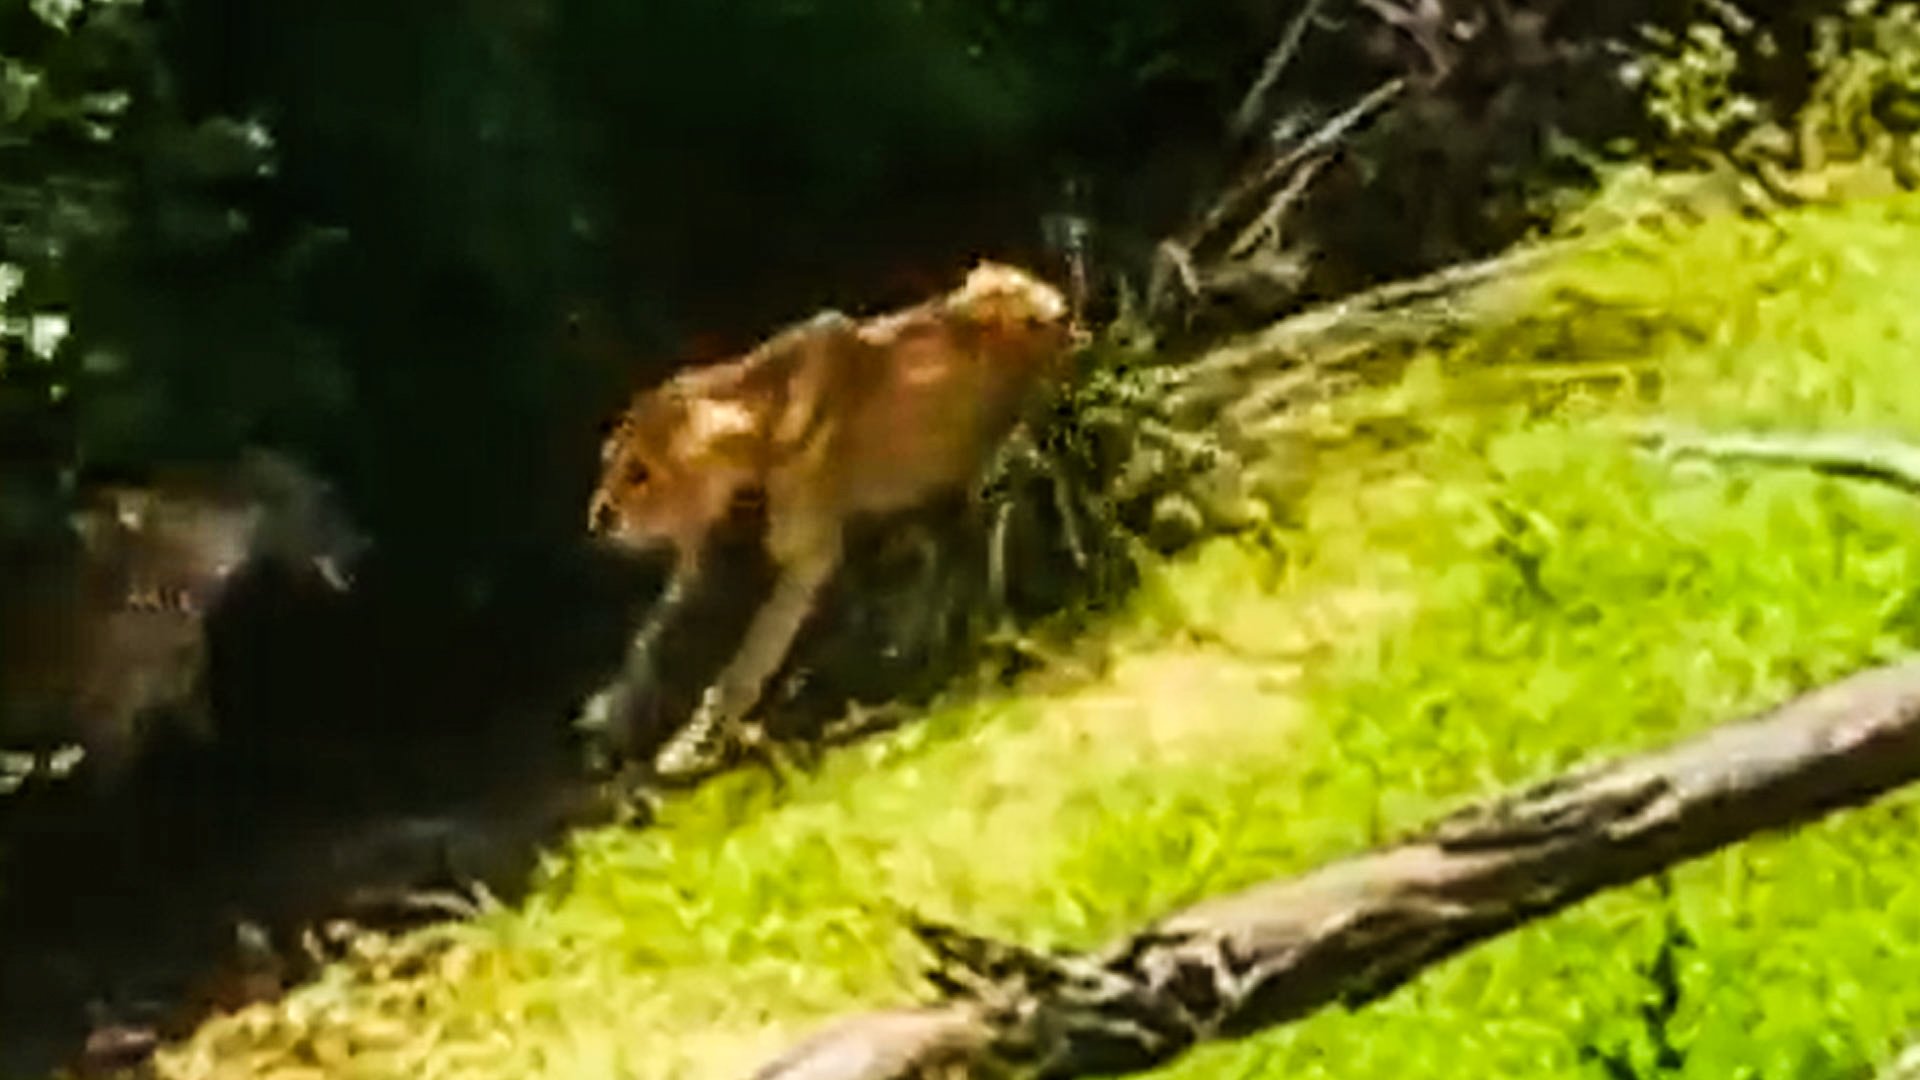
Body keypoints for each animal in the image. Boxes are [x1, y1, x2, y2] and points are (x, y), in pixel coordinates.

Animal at [583, 261, 1080, 781]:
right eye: (611, 463)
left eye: (639, 473)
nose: (598, 518)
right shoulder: (708, 570)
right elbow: (653, 646)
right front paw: (619, 722)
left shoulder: (808, 559)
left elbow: (746, 662)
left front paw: (692, 744)